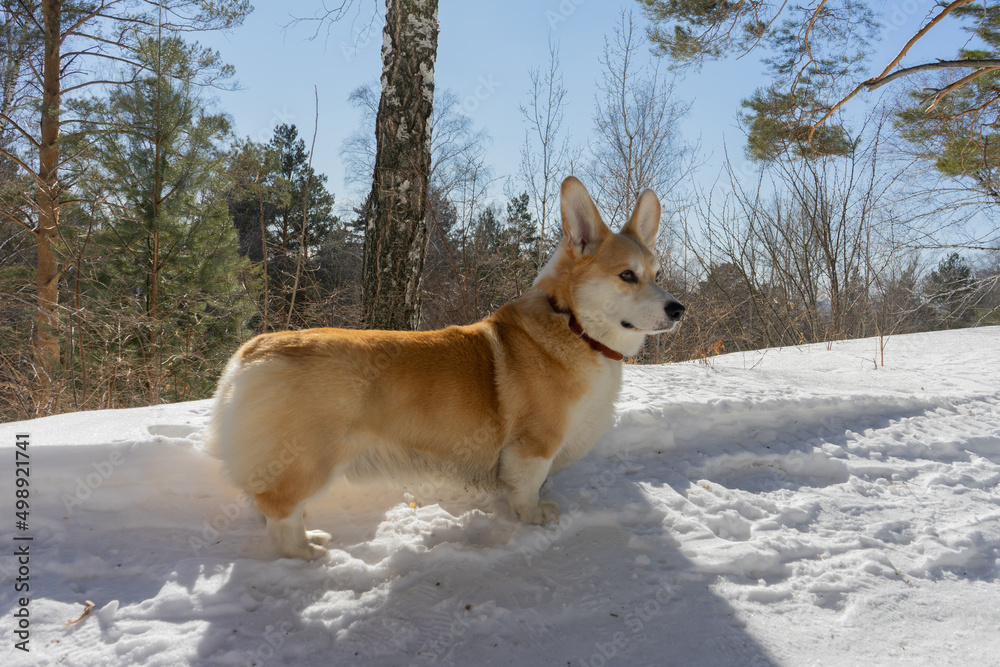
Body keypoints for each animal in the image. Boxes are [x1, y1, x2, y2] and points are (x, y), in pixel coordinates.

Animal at [207, 176, 684, 560]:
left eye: (658, 274)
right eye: (627, 275)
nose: (679, 309)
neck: (574, 325)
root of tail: (250, 352)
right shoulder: (533, 445)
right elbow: (527, 489)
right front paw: (536, 517)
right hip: (308, 462)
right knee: (280, 516)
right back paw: (309, 552)